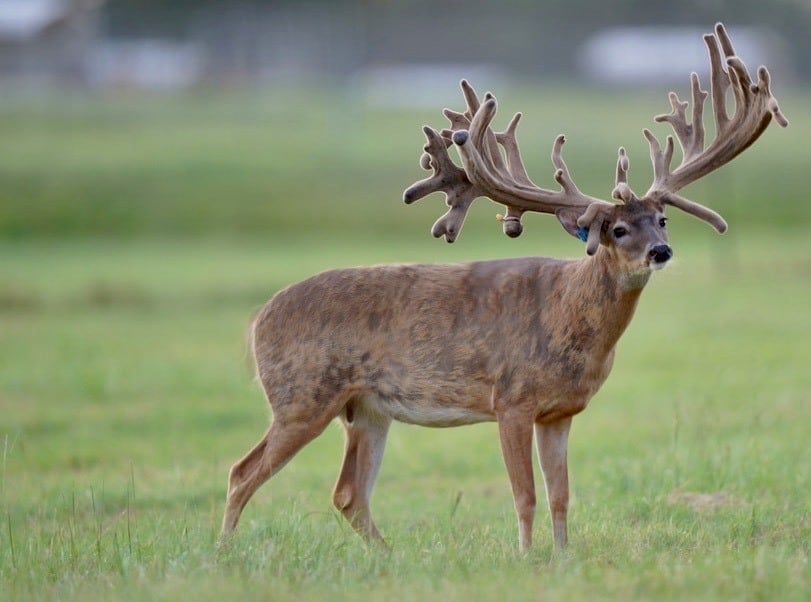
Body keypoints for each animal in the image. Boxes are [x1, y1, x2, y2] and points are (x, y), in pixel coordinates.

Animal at [219, 24, 787, 553]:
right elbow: (525, 494)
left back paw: (389, 556)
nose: (661, 252)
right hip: (301, 395)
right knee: (242, 472)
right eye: (617, 229)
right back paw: (222, 554)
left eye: (662, 220)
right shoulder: (511, 398)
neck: (568, 317)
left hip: (367, 409)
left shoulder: (560, 411)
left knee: (348, 493)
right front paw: (526, 558)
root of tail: (256, 320)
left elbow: (561, 494)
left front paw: (562, 558)